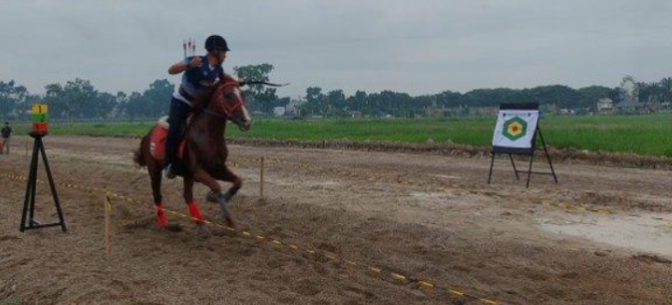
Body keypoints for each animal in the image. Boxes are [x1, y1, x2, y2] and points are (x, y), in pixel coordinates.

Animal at [134, 79, 252, 230]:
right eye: (228, 95)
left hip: (187, 175)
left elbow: (238, 181)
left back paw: (199, 222)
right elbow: (216, 186)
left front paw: (220, 205)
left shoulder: (217, 169)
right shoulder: (198, 172)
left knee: (187, 196)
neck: (207, 135)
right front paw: (223, 211)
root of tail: (147, 136)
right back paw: (165, 224)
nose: (246, 121)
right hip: (154, 169)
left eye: (242, 94)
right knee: (157, 195)